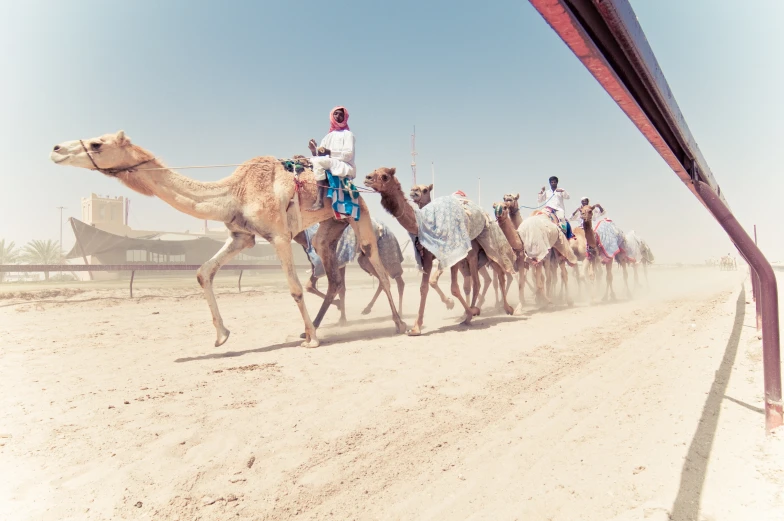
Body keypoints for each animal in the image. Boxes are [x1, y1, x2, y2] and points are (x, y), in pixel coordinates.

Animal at [50, 132, 404, 348]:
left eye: (97, 143)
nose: (55, 149)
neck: (233, 192)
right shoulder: (241, 237)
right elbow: (203, 271)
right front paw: (221, 335)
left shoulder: (278, 236)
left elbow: (294, 288)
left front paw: (312, 341)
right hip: (327, 230)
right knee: (333, 277)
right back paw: (317, 325)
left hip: (360, 218)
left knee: (380, 269)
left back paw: (398, 323)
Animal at [362, 169, 512, 336]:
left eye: (385, 176)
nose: (367, 178)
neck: (425, 223)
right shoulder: (427, 257)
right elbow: (424, 287)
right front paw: (416, 327)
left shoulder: (452, 254)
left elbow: (452, 287)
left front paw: (456, 305)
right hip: (474, 258)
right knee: (480, 281)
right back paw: (470, 316)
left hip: (483, 250)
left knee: (495, 275)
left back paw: (504, 308)